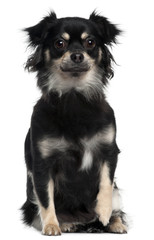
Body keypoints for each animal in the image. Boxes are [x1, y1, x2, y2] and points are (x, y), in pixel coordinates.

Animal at [21, 10, 127, 234]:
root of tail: (84, 221)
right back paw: (67, 223)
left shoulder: (109, 152)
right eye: (59, 43)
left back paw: (115, 223)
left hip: (117, 194)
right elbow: (46, 199)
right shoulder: (42, 165)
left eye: (90, 42)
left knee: (117, 205)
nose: (77, 55)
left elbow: (106, 182)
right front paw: (52, 225)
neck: (74, 97)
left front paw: (104, 211)